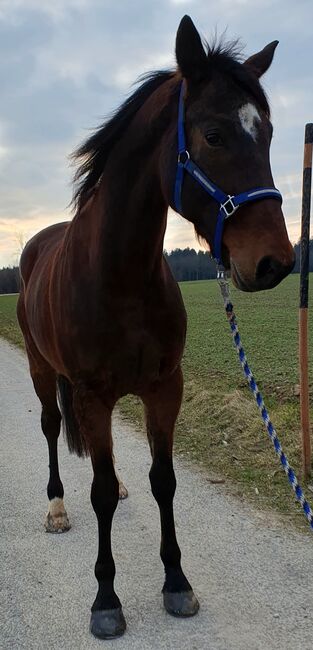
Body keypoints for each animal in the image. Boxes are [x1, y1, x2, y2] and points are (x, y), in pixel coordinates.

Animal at [17, 13, 294, 636]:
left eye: (267, 133)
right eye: (213, 135)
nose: (276, 263)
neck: (120, 277)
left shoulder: (166, 387)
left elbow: (162, 481)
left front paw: (176, 581)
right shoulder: (90, 393)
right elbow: (95, 492)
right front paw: (105, 598)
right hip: (43, 370)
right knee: (51, 427)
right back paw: (56, 506)